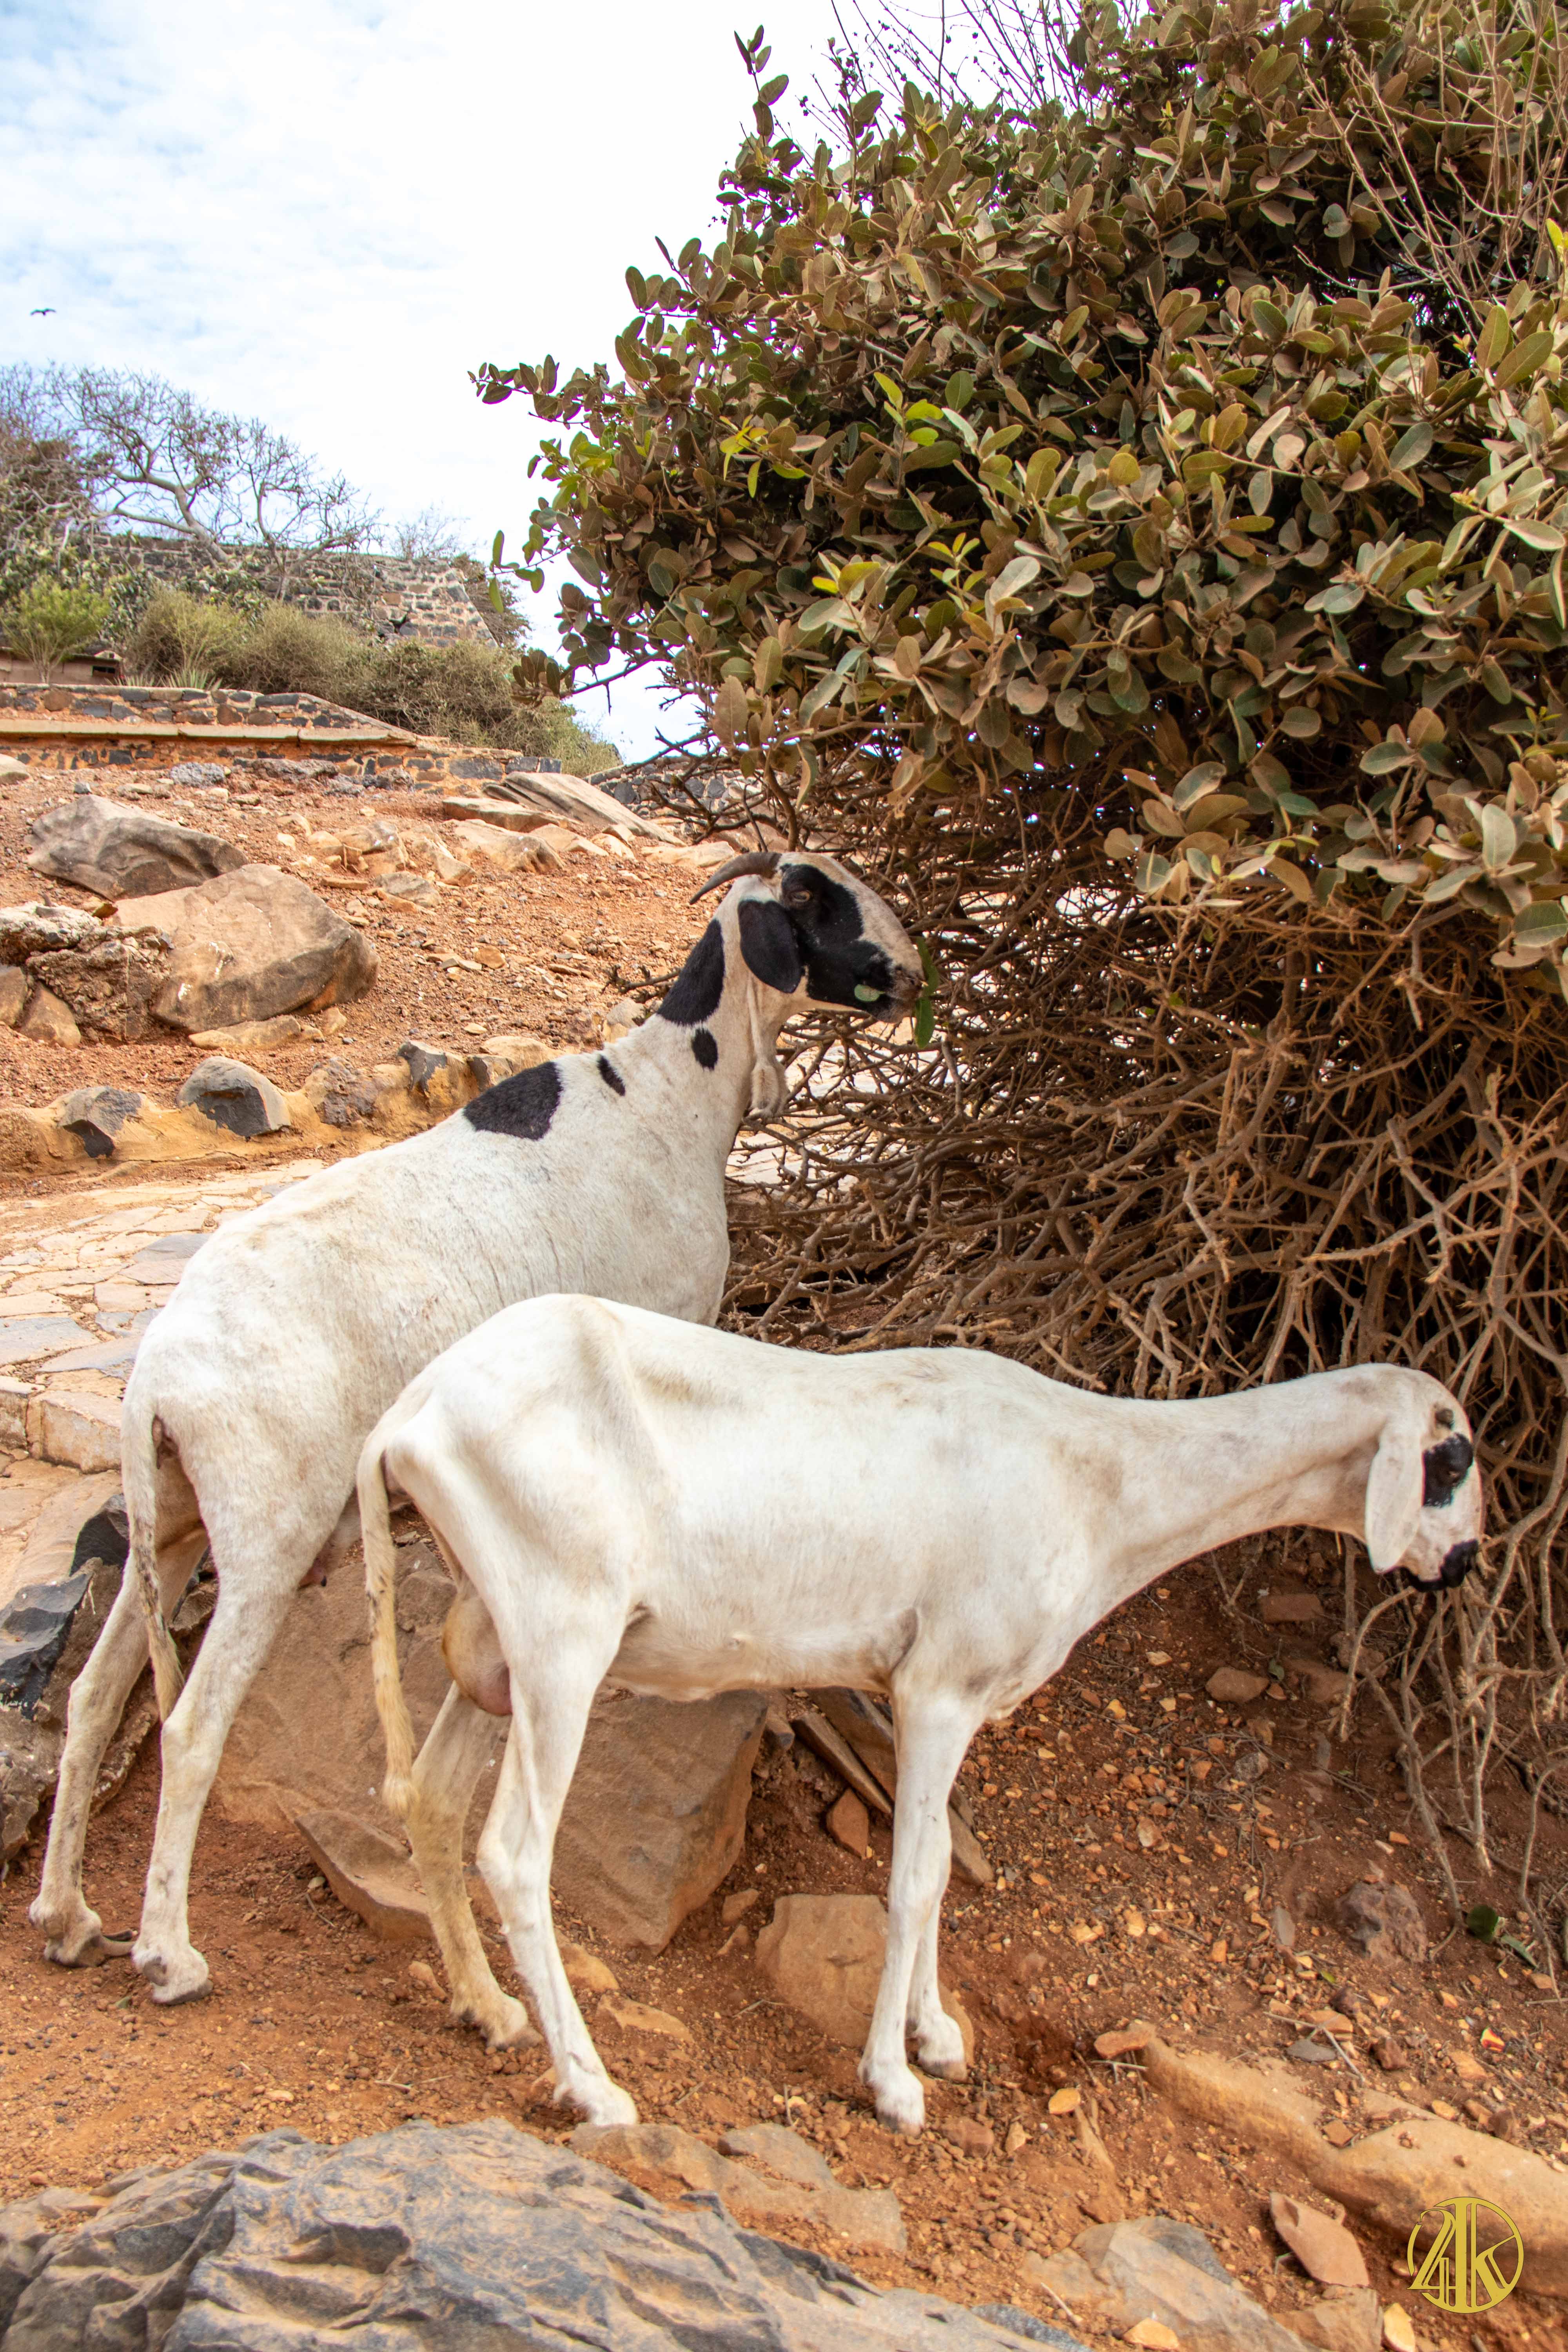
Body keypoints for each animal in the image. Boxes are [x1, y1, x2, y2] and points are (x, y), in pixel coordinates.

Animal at [31, 850, 922, 2042]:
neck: (666, 1096)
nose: (910, 971)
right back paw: (169, 1955)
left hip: (168, 1523)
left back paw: (67, 1915)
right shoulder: (656, 1328)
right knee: (189, 1727)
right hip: (267, 1532)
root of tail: (157, 1384)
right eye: (818, 899)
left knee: (92, 1701)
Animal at [361, 1295, 1484, 2135]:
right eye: (1453, 1457)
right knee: (513, 1853)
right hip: (563, 1644)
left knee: (430, 1800)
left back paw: (487, 2010)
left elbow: (940, 1865)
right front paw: (891, 2084)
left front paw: (936, 2036)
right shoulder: (936, 1689)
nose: (1464, 1561)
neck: (1103, 1478)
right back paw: (593, 2088)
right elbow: (905, 1883)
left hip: (494, 1651)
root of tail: (405, 1417)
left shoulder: (956, 1702)